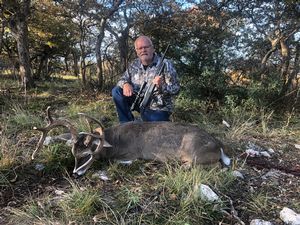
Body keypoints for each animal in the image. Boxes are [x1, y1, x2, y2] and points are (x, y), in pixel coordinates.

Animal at [32, 107, 230, 176]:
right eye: (74, 153)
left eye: (89, 155)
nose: (75, 173)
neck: (114, 142)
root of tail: (219, 145)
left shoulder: (131, 154)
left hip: (195, 152)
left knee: (216, 166)